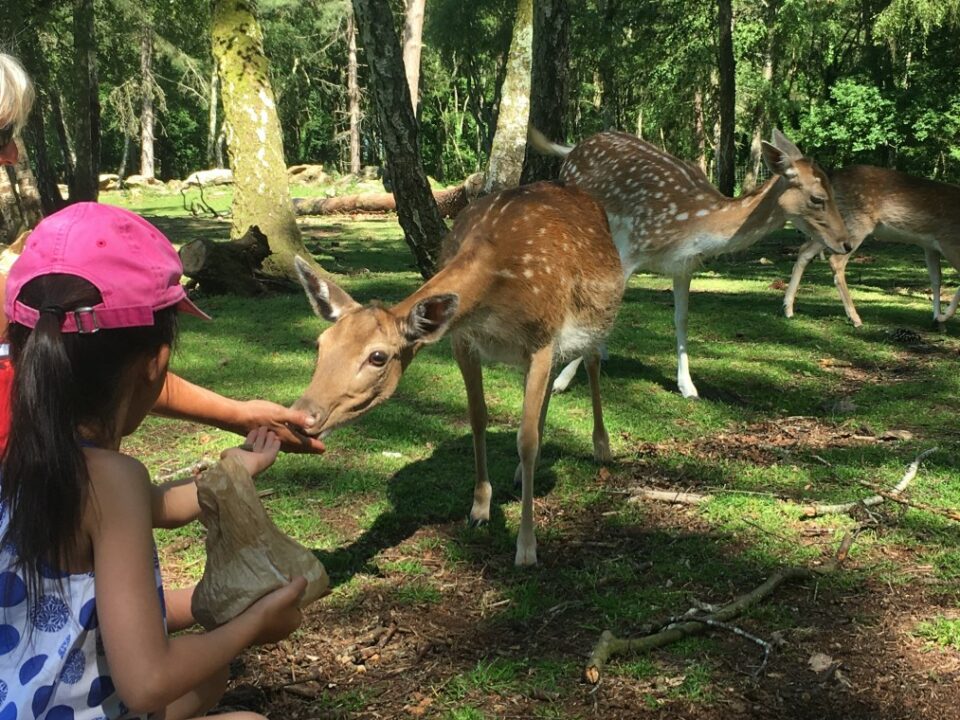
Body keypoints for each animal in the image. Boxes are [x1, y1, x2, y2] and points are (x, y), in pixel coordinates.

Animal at [288, 183, 628, 564]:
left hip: (594, 320)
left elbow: (524, 439)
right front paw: (479, 509)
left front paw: (526, 546)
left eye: (377, 357)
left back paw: (601, 447)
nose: (302, 416)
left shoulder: (543, 335)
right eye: (321, 343)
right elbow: (478, 417)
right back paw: (522, 473)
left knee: (592, 360)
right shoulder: (463, 340)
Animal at [532, 129, 856, 400]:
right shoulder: (631, 249)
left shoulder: (683, 266)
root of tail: (573, 149)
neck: (693, 224)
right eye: (817, 198)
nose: (847, 243)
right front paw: (561, 381)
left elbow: (681, 319)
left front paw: (688, 387)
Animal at [784, 165, 960, 328]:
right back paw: (855, 318)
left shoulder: (930, 246)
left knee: (805, 250)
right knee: (835, 261)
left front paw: (937, 318)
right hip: (857, 223)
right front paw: (943, 317)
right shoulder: (949, 242)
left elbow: (936, 279)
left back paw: (788, 308)